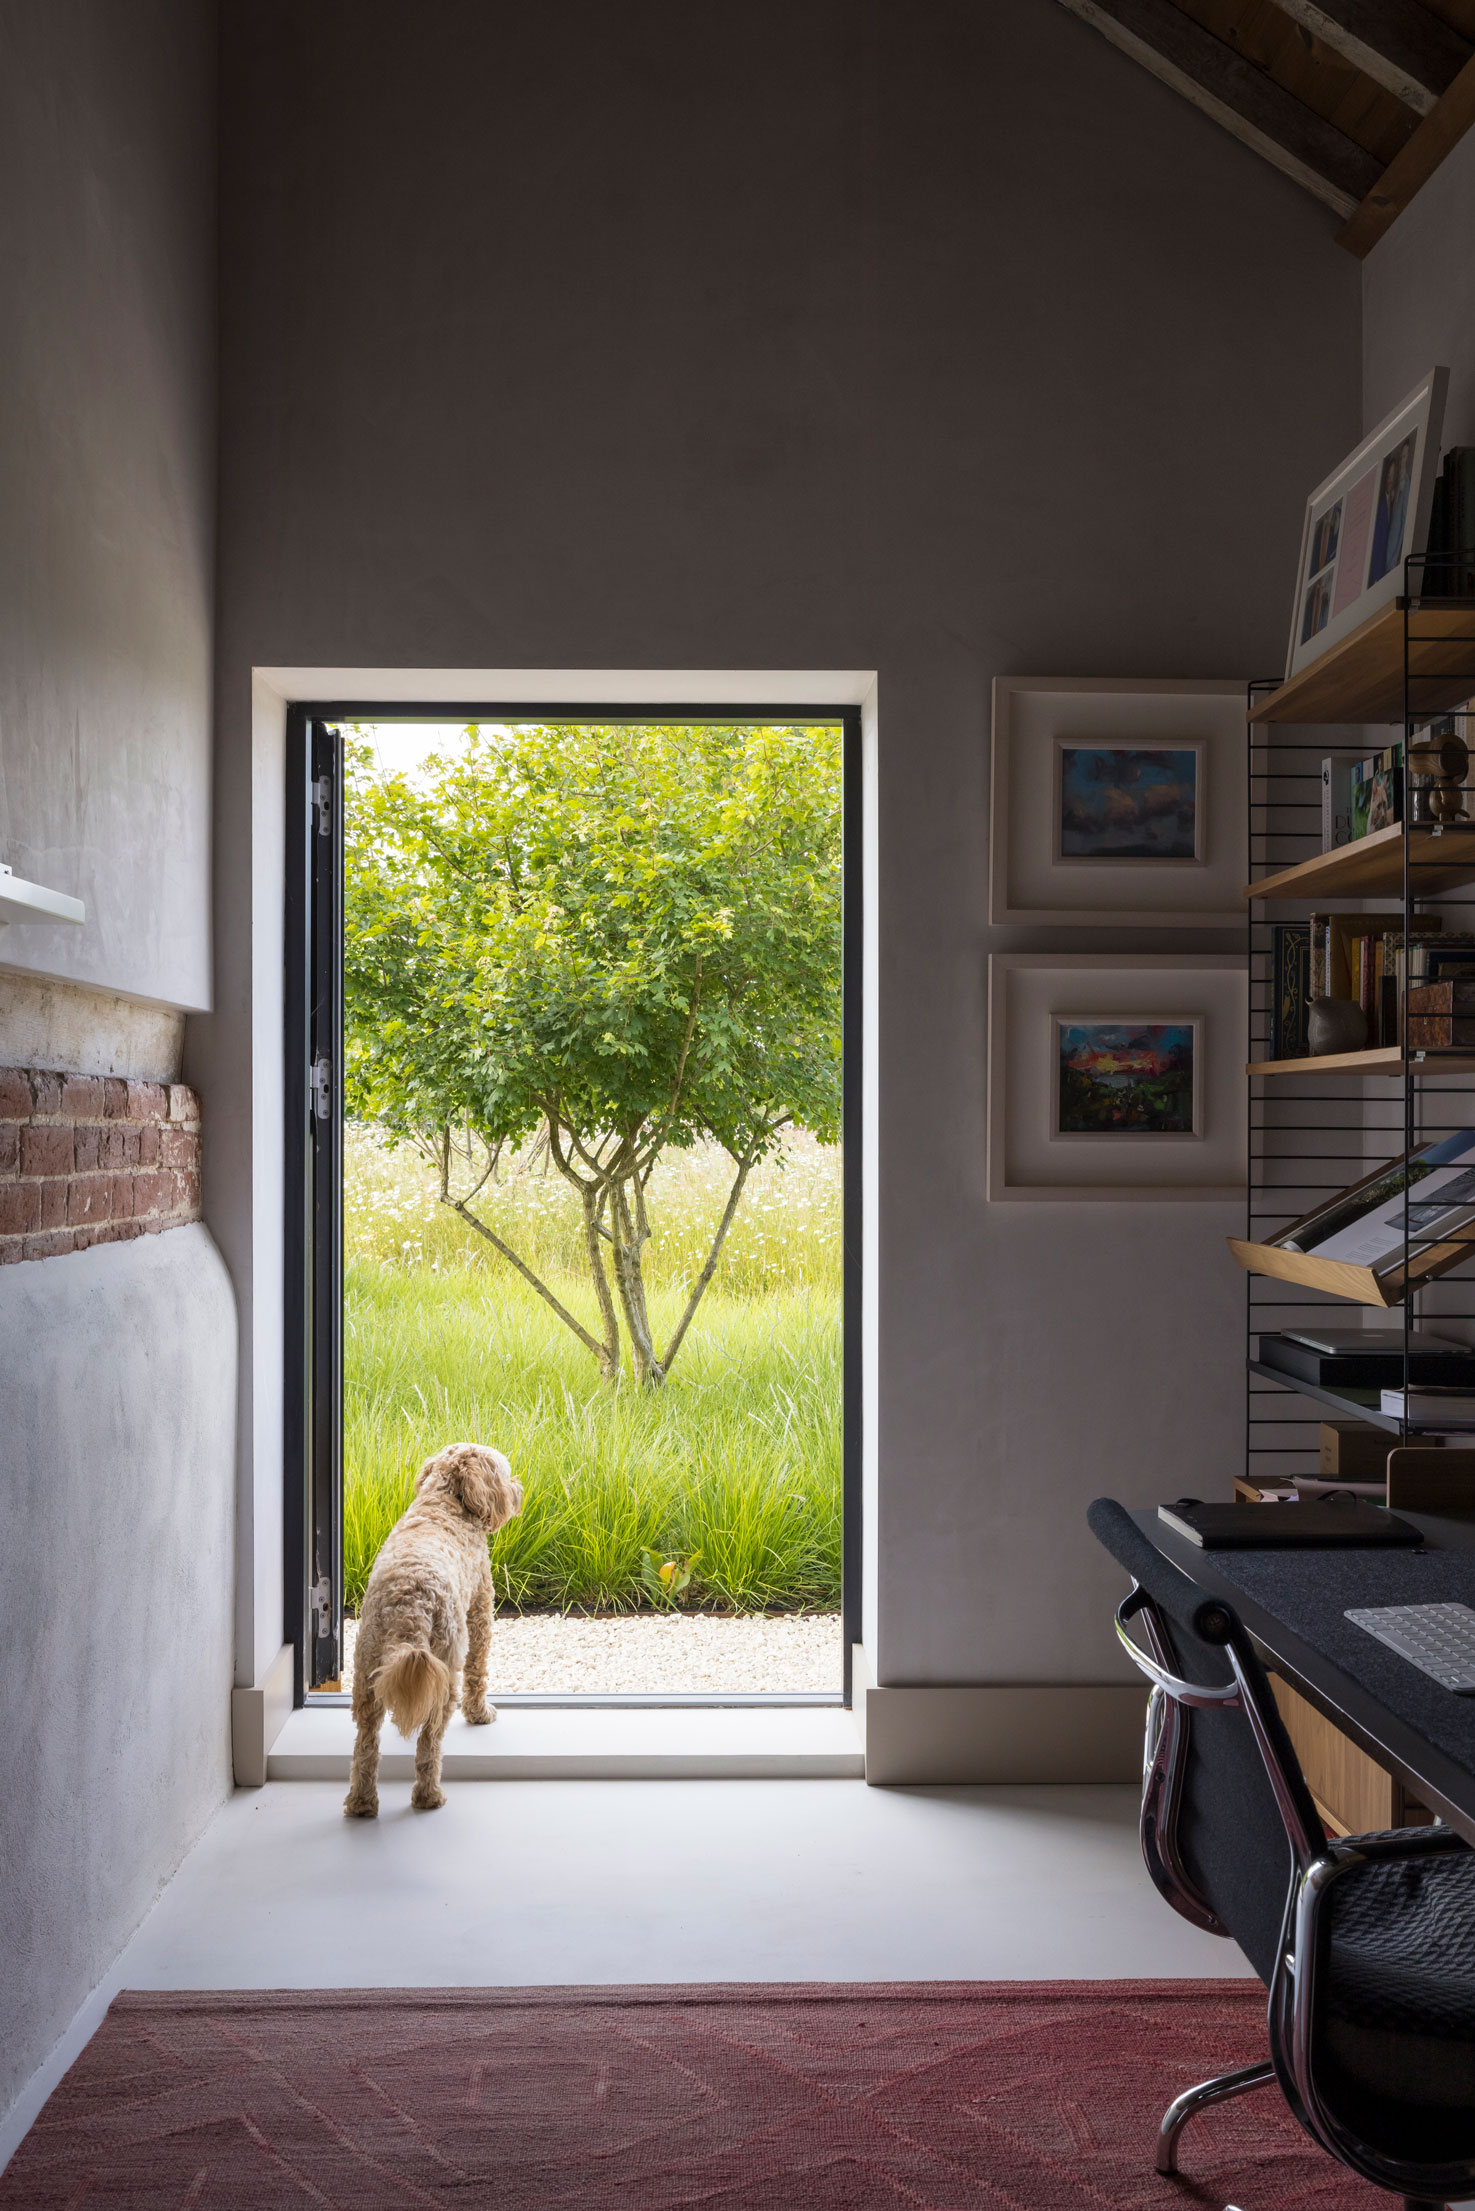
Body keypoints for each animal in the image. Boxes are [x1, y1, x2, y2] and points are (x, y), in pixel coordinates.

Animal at [347, 1432, 524, 1813]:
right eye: (504, 1474)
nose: (518, 1488)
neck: (443, 1504)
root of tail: (408, 1605)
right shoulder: (480, 1606)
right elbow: (478, 1669)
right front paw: (480, 1713)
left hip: (366, 1670)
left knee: (366, 1745)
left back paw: (361, 1802)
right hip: (444, 1663)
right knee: (429, 1742)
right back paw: (429, 1796)